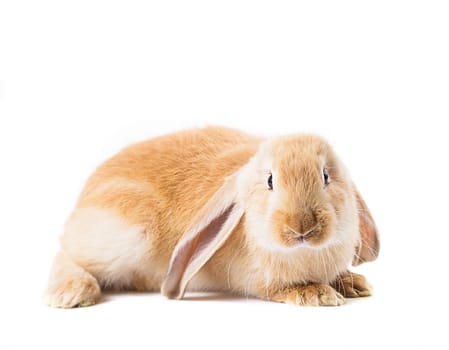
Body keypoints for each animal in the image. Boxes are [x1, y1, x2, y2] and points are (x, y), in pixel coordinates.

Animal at [43, 127, 376, 308]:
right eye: (270, 181)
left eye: (325, 176)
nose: (301, 227)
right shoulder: (255, 280)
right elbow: (276, 289)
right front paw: (317, 294)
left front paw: (355, 284)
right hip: (129, 231)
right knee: (66, 253)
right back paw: (71, 294)